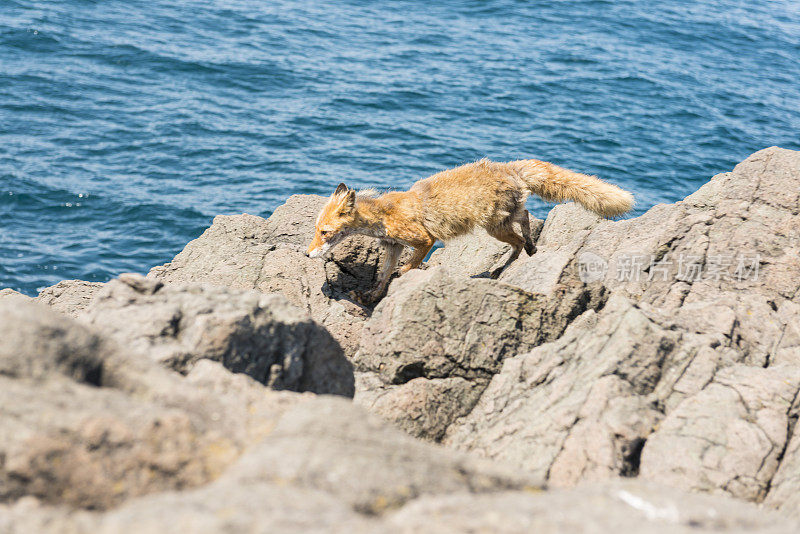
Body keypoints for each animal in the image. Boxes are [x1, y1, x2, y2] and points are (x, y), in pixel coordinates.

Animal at [304, 157, 632, 304]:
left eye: (324, 233)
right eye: (316, 230)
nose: (307, 255)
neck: (384, 217)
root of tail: (508, 166)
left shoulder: (424, 240)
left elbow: (406, 269)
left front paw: (401, 281)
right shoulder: (393, 245)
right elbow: (383, 275)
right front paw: (371, 295)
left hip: (493, 227)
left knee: (518, 236)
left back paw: (510, 263)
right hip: (502, 219)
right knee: (525, 217)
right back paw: (525, 250)